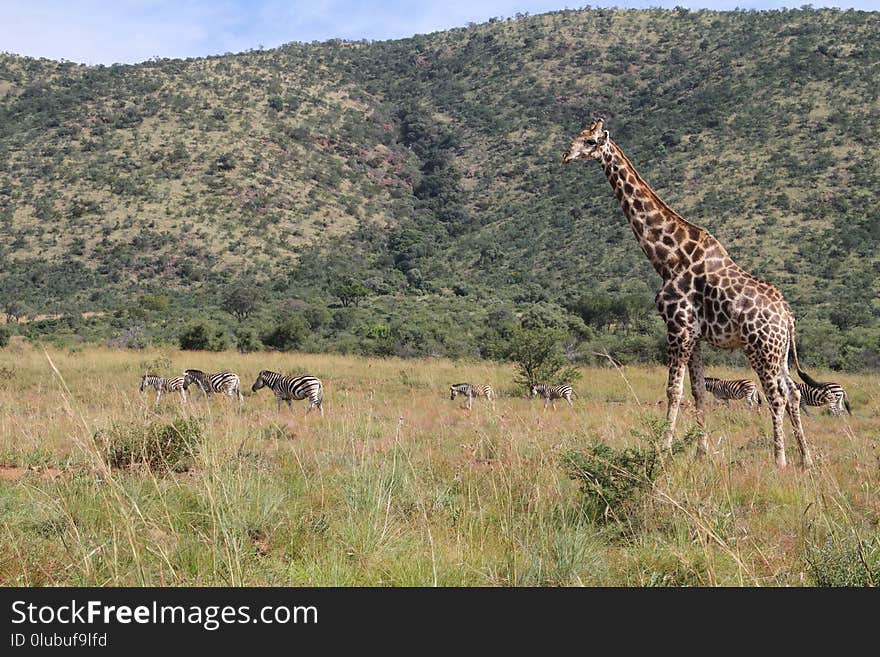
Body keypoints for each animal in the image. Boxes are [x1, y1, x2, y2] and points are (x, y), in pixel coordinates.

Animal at [564, 118, 812, 466]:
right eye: (579, 136)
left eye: (590, 141)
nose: (566, 155)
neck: (668, 258)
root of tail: (788, 317)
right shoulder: (694, 335)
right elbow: (698, 391)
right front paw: (700, 451)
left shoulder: (677, 328)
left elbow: (674, 390)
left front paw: (663, 449)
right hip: (780, 354)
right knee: (794, 393)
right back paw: (806, 459)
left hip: (761, 349)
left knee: (776, 396)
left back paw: (780, 460)